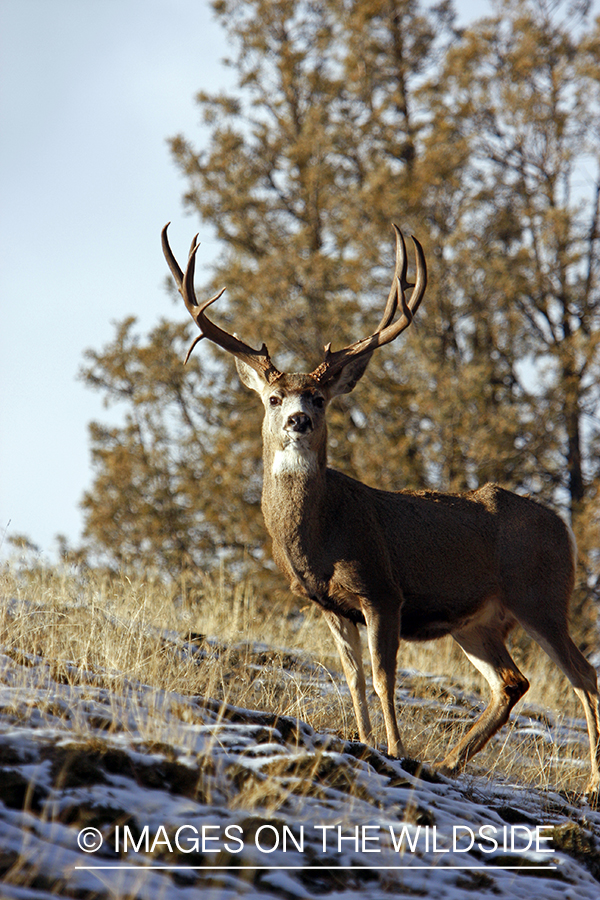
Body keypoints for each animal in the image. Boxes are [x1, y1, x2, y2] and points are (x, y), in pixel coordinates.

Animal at [162, 222, 600, 793]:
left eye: (319, 398)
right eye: (275, 398)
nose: (299, 420)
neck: (319, 538)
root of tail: (564, 528)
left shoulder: (383, 591)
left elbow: (381, 674)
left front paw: (394, 749)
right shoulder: (328, 603)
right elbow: (351, 677)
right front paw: (367, 742)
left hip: (541, 595)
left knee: (584, 676)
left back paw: (591, 783)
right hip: (477, 620)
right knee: (512, 682)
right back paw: (451, 762)